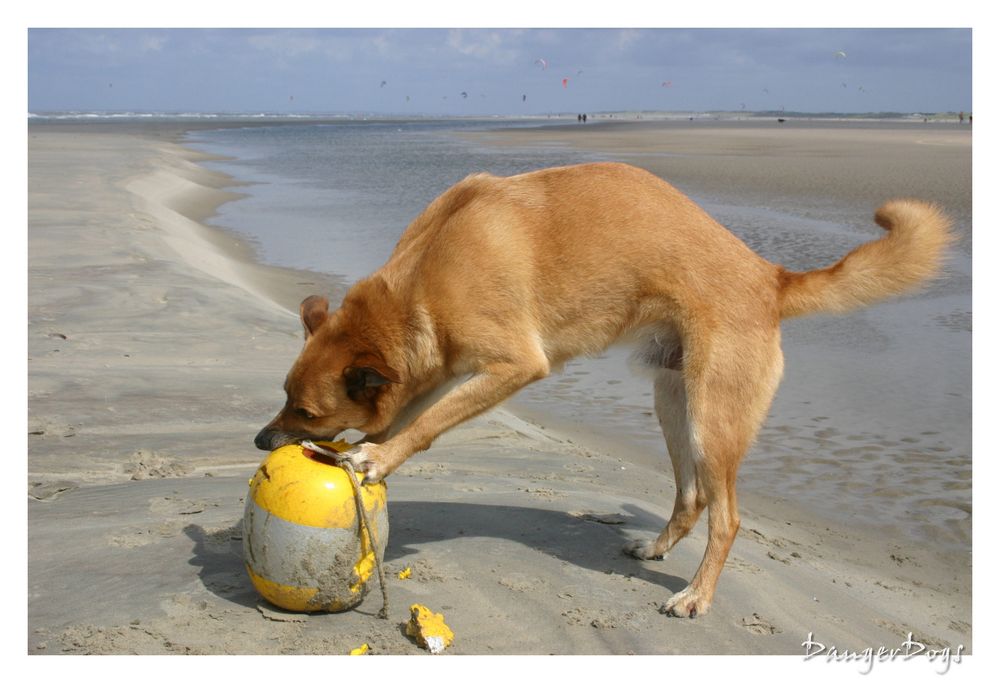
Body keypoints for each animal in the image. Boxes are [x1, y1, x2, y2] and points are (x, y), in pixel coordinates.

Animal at [254, 162, 948, 620]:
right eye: (283, 394)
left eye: (305, 410)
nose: (261, 440)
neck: (422, 278)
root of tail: (770, 277)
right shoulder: (442, 372)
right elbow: (408, 418)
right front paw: (376, 454)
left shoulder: (511, 366)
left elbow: (422, 427)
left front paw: (374, 458)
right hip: (672, 402)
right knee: (691, 496)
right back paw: (655, 548)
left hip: (712, 418)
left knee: (726, 516)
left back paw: (697, 595)